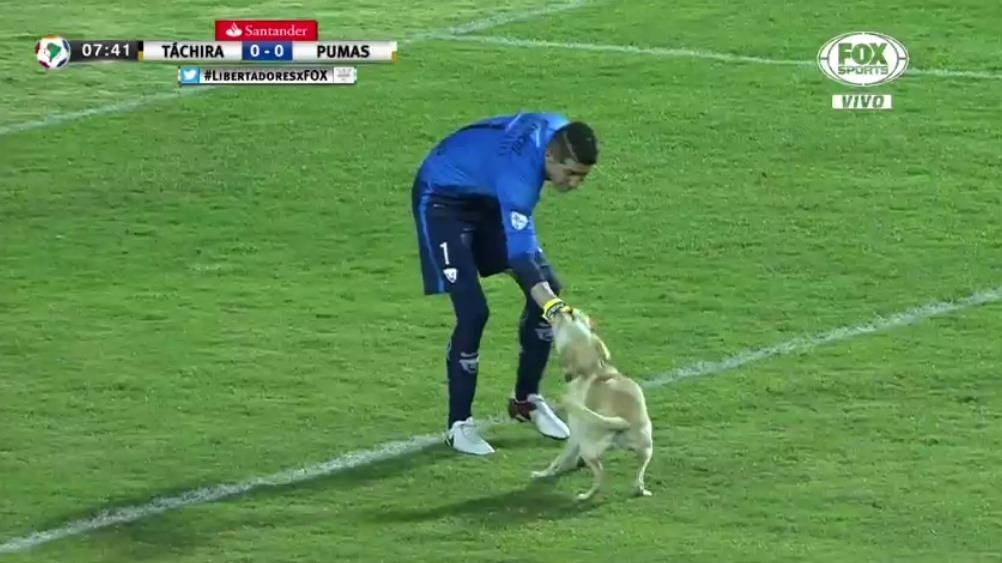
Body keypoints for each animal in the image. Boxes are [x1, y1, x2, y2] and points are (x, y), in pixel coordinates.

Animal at [529, 306, 653, 498]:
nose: (567, 308)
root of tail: (621, 421)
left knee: (600, 477)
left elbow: (558, 459)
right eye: (579, 316)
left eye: (572, 315)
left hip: (588, 448)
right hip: (646, 450)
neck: (591, 369)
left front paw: (543, 473)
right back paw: (641, 489)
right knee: (639, 474)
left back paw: (585, 495)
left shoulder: (574, 436)